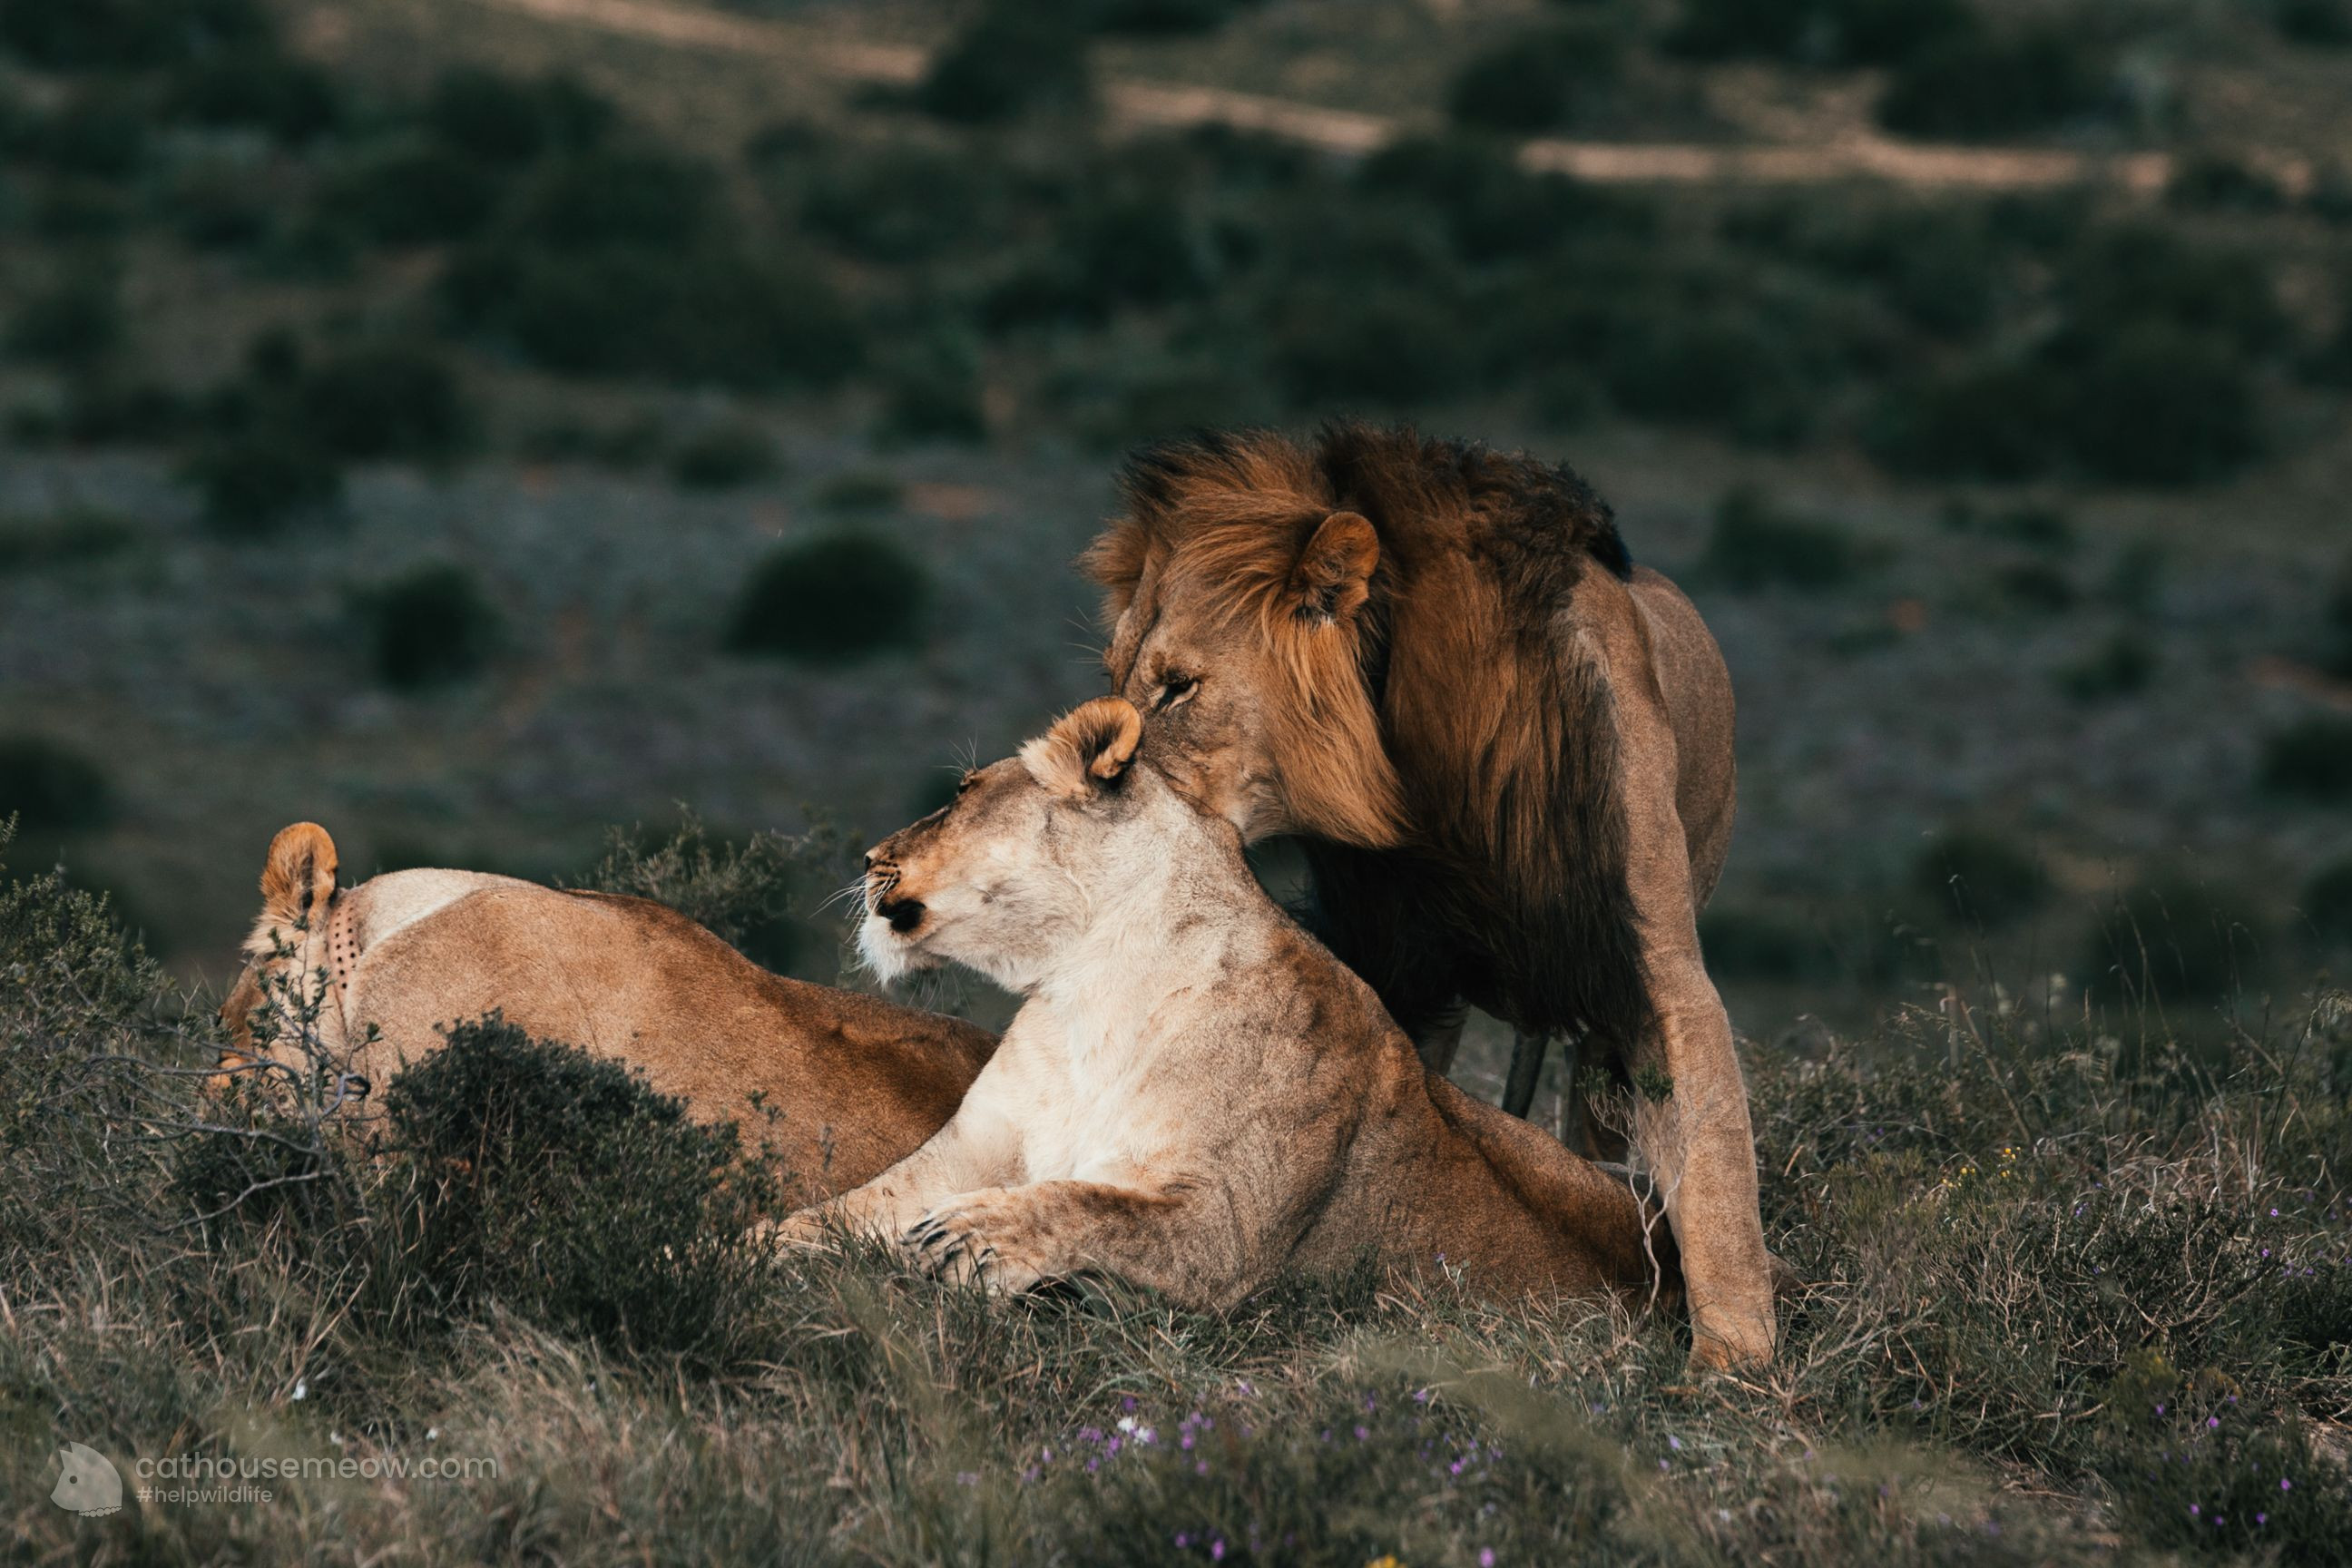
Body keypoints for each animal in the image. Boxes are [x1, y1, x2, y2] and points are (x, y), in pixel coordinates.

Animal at [775, 698, 1680, 1314]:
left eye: (963, 792)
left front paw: (973, 1240)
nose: (869, 858)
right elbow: (849, 1208)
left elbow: (1090, 1204)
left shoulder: (1229, 1230)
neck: (1084, 991)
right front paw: (760, 1251)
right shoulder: (967, 1153)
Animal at [1081, 424, 1770, 1369]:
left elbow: (1715, 1161)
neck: (1415, 787)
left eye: (1178, 685)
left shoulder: (1647, 963)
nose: (1079, 776)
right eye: (1114, 673)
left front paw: (1735, 1365)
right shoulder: (1402, 965)